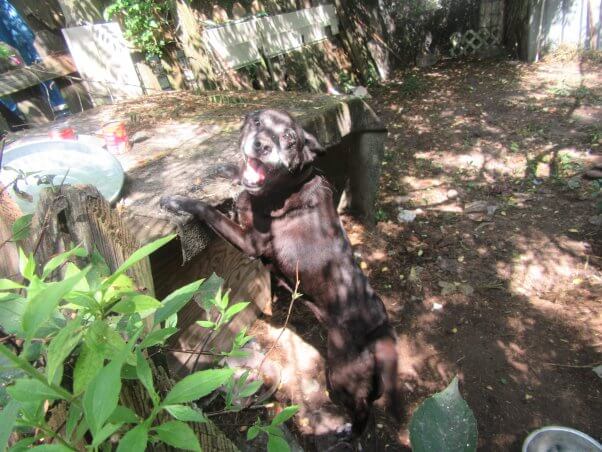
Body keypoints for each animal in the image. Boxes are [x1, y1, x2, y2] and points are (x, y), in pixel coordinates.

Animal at [162, 109, 400, 434]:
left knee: (362, 410)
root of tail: (381, 332)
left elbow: (209, 210)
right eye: (258, 122)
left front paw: (177, 201)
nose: (261, 146)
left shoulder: (249, 242)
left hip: (342, 375)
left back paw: (350, 432)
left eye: (289, 139)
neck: (285, 187)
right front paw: (227, 168)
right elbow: (240, 177)